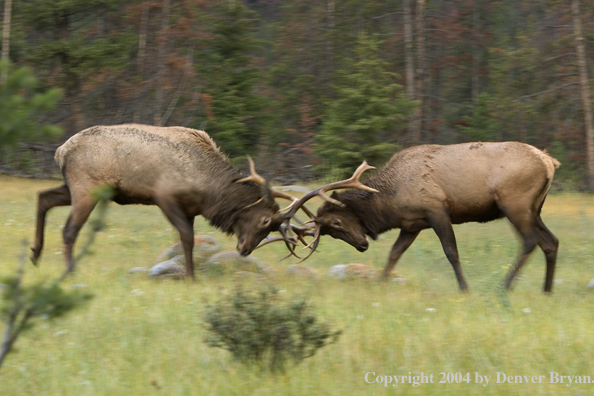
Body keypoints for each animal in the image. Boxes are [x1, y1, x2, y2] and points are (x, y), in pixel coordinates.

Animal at [31, 125, 300, 276]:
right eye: (265, 220)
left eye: (273, 227)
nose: (245, 249)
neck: (210, 192)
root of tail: (60, 151)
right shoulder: (164, 196)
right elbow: (187, 238)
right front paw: (190, 277)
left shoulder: (191, 209)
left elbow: (187, 241)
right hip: (87, 187)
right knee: (69, 230)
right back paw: (70, 271)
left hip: (75, 187)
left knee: (43, 197)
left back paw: (35, 255)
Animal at [286, 144, 560, 292]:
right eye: (331, 232)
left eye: (336, 222)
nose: (362, 245)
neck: (389, 199)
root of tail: (550, 161)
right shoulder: (411, 224)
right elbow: (394, 253)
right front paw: (380, 284)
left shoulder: (436, 210)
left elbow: (451, 252)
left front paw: (465, 288)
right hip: (535, 208)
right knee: (551, 241)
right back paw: (546, 290)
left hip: (515, 204)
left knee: (530, 240)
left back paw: (504, 286)